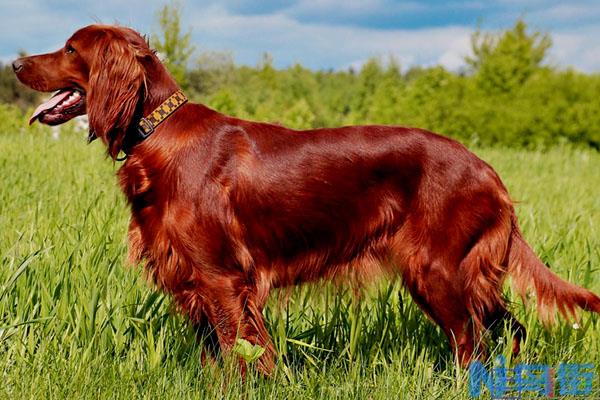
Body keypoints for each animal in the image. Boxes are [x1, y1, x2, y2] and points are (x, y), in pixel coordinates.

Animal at [14, 25, 600, 376]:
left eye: (70, 49)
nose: (16, 63)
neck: (159, 133)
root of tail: (489, 171)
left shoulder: (221, 277)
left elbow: (240, 354)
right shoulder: (195, 279)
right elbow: (217, 357)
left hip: (436, 270)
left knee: (471, 345)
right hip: (469, 275)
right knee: (508, 331)